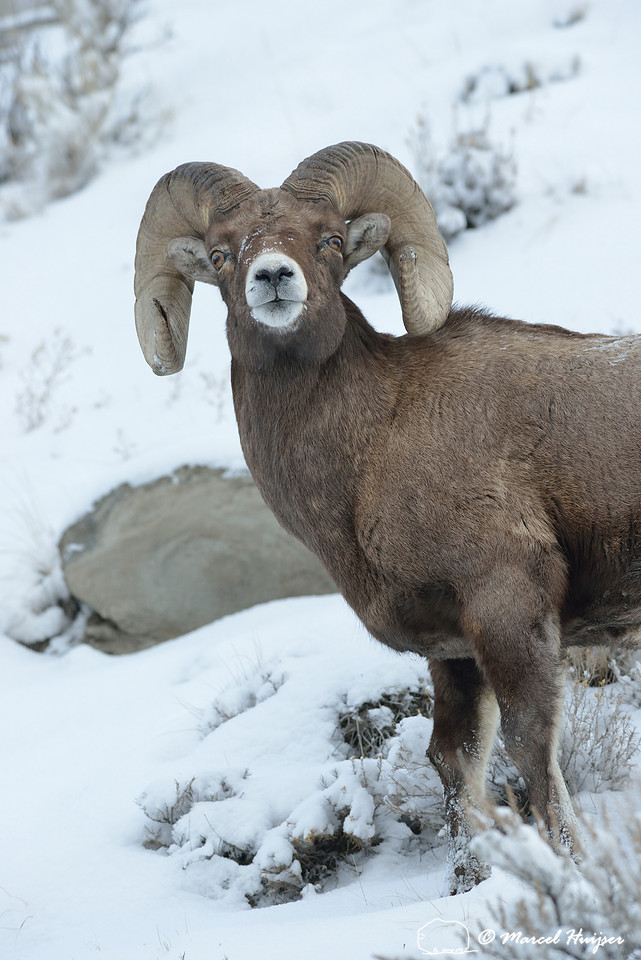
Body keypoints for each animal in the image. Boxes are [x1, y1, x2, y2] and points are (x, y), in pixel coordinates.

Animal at [134, 140, 641, 894]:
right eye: (222, 254)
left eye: (329, 241)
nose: (273, 277)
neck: (375, 439)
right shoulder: (454, 651)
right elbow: (457, 763)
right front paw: (473, 877)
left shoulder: (507, 609)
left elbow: (533, 754)